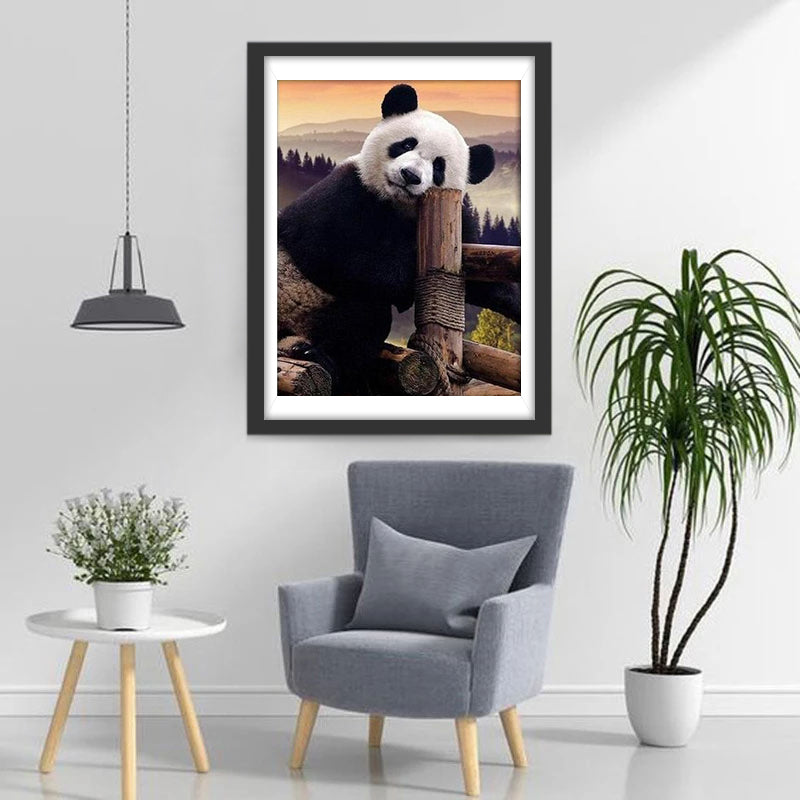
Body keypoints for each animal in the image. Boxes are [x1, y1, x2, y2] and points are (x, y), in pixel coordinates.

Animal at [278, 83, 519, 394]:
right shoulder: (344, 191)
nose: (410, 175)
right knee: (364, 312)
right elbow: (326, 251)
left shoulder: (458, 220)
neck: (397, 204)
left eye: (438, 166)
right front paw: (406, 284)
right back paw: (314, 354)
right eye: (406, 144)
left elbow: (484, 281)